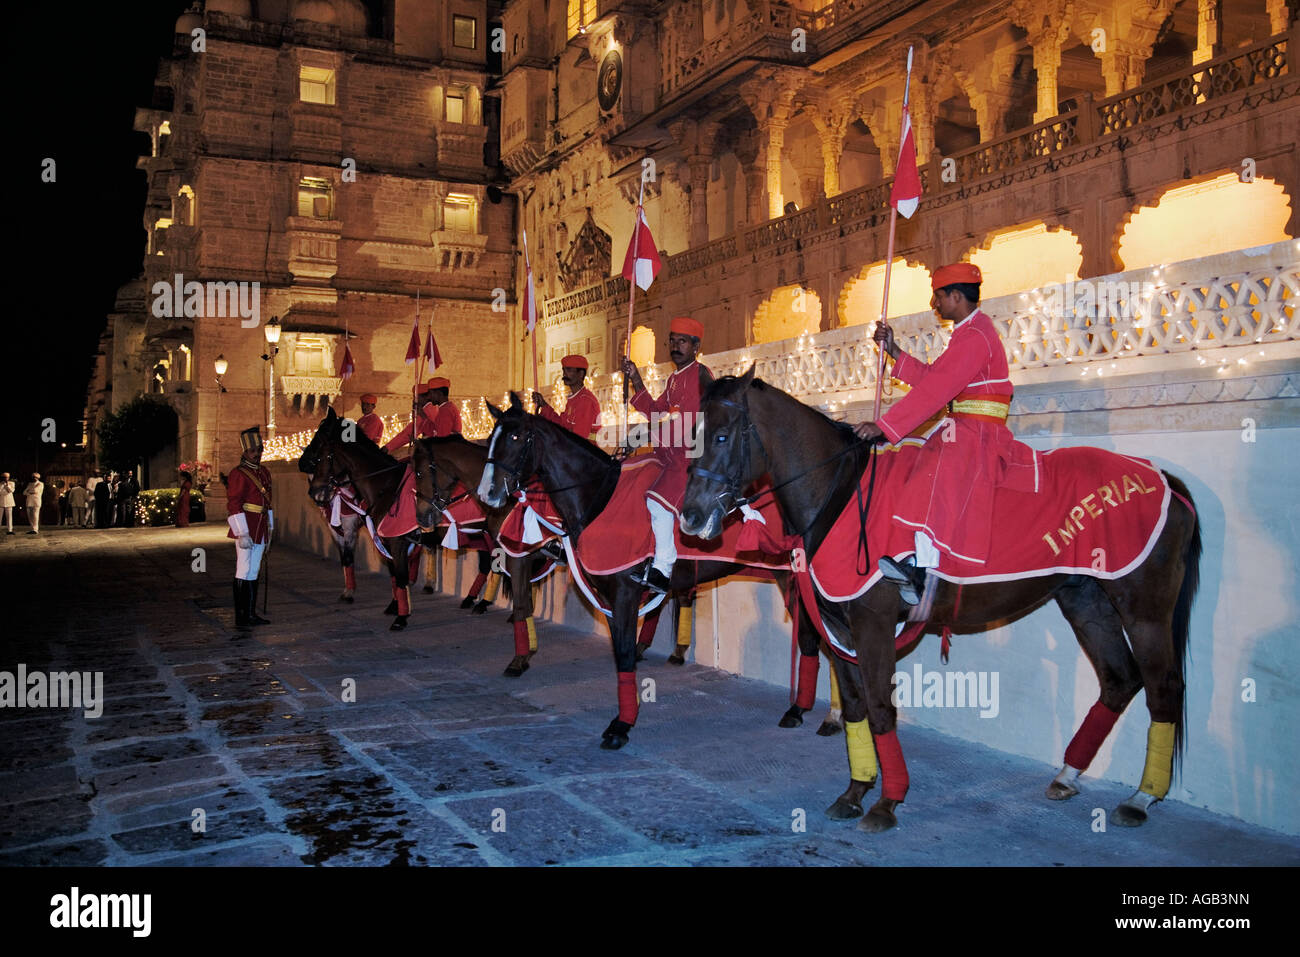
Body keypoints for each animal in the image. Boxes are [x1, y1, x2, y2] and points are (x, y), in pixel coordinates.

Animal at [302, 408, 441, 631]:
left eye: (319, 441)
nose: (315, 492)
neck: (387, 485)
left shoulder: (370, 533)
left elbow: (393, 573)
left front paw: (400, 617)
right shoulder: (372, 536)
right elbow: (391, 573)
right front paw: (395, 606)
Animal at [478, 395, 852, 754]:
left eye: (515, 437)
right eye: (492, 438)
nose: (487, 494)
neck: (600, 497)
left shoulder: (625, 594)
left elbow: (625, 653)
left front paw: (621, 726)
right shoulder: (609, 597)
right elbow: (621, 652)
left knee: (824, 641)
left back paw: (832, 715)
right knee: (813, 640)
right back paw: (800, 710)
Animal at [686, 369, 1201, 832]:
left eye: (722, 435)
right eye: (692, 435)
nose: (691, 515)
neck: (841, 497)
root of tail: (1163, 479)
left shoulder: (872, 624)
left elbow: (879, 707)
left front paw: (887, 801)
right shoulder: (840, 628)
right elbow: (854, 708)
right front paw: (856, 790)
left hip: (1144, 610)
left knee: (1163, 689)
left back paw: (1140, 798)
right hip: (1086, 602)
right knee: (1119, 679)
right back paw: (1069, 774)